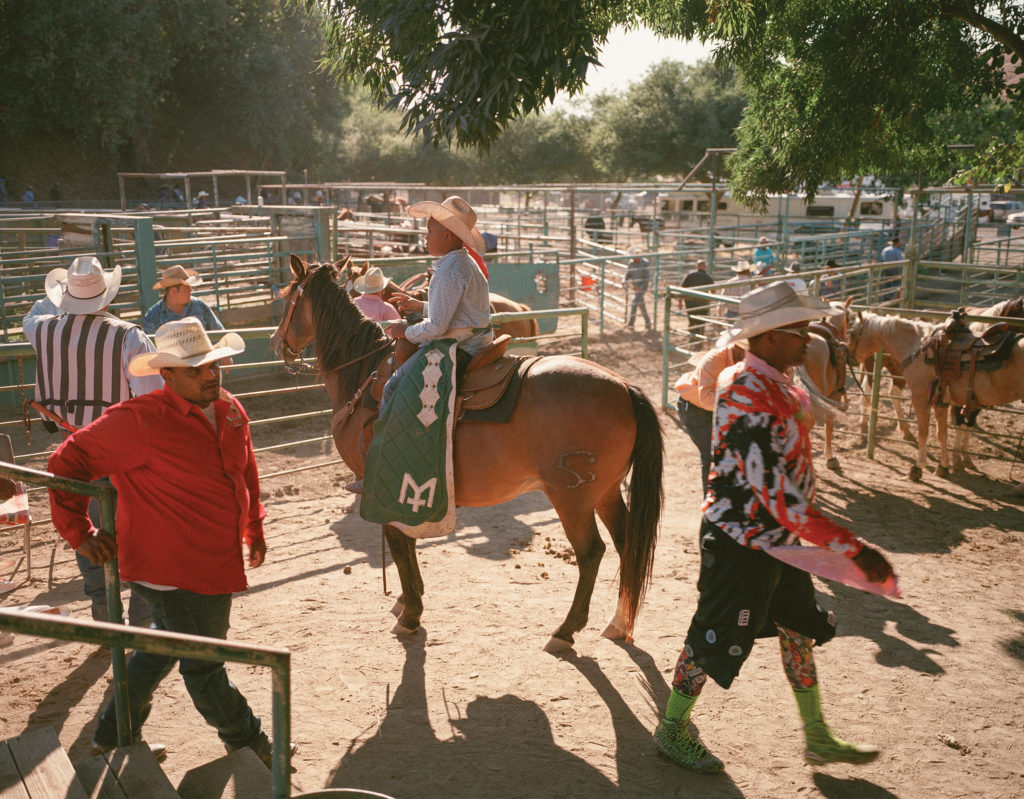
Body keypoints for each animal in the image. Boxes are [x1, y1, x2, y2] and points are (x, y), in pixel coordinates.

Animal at [268, 256, 663, 647]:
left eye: (287, 298)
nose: (275, 342)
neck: (366, 376)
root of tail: (624, 387)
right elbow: (406, 543)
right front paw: (407, 600)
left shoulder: (383, 485)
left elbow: (399, 544)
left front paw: (410, 613)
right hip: (606, 492)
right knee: (628, 542)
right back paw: (619, 623)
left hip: (573, 498)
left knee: (591, 552)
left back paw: (566, 630)